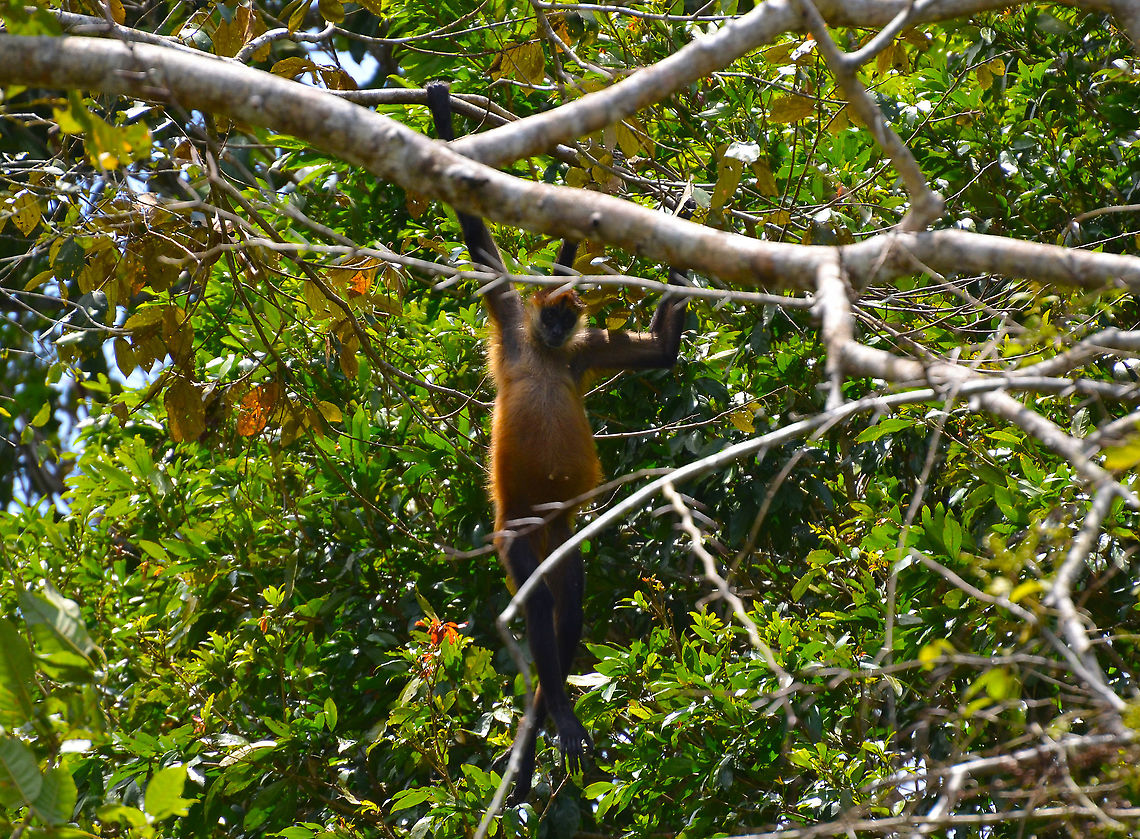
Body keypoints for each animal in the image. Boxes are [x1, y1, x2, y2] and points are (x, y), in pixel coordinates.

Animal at [426, 81, 689, 804]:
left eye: (571, 315)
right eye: (551, 312)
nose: (555, 324)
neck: (545, 357)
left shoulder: (579, 353)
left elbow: (661, 354)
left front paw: (680, 278)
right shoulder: (516, 328)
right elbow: (478, 240)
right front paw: (441, 114)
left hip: (564, 537)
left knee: (569, 606)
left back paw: (546, 719)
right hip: (515, 533)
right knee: (542, 608)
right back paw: (558, 720)